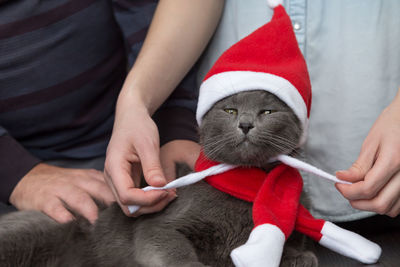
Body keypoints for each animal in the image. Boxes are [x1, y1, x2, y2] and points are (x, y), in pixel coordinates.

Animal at [0, 91, 318, 266]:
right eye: (230, 110)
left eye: (268, 111)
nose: (246, 123)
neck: (248, 187)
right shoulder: (161, 224)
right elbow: (169, 246)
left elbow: (302, 255)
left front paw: (298, 258)